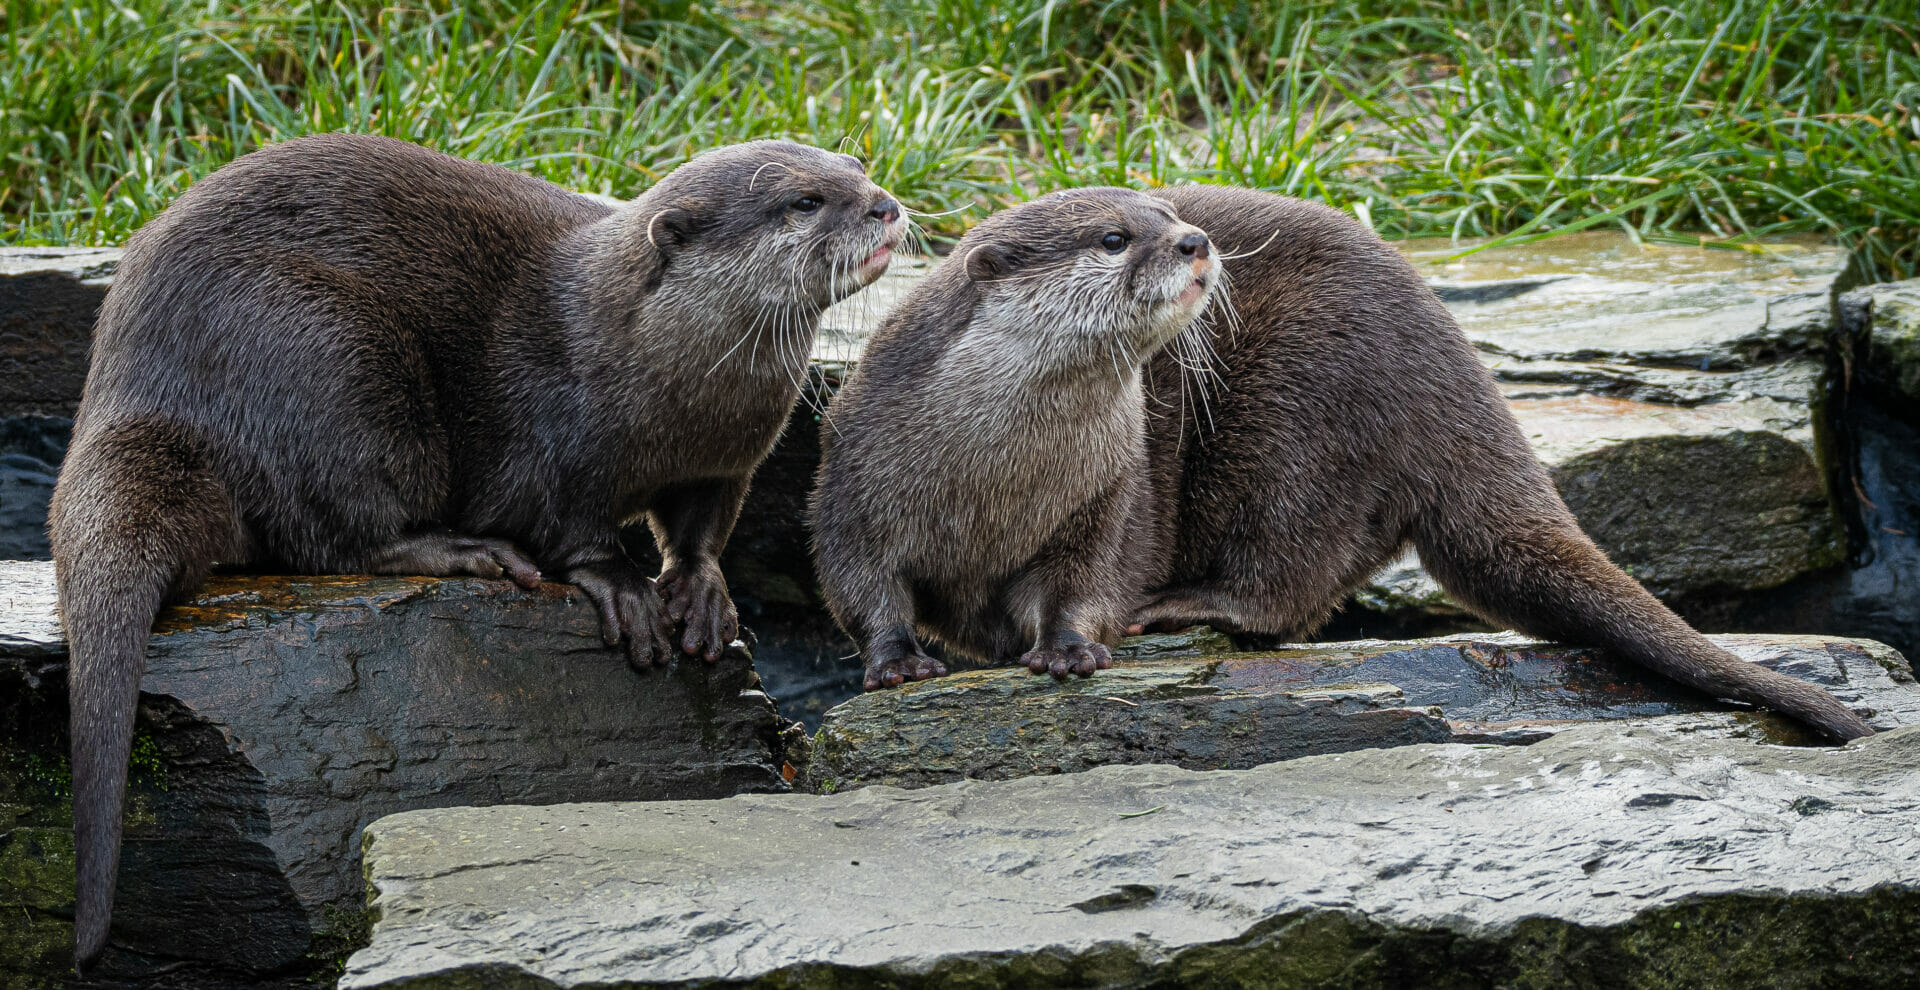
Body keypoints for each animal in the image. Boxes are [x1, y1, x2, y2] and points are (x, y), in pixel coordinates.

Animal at [50, 135, 906, 970]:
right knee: (331, 531)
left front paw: (700, 594)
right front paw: (624, 589)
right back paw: (463, 550)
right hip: (327, 354)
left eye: (856, 165)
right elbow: (568, 529)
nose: (887, 206)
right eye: (804, 201)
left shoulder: (726, 463)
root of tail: (132, 393)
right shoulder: (551, 444)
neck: (660, 374)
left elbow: (698, 534)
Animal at [810, 189, 1213, 690]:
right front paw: (897, 662)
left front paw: (1068, 649)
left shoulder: (1105, 495)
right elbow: (860, 582)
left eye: (1172, 216)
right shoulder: (852, 480)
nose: (1195, 240)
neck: (987, 492)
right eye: (1113, 238)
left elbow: (1082, 583)